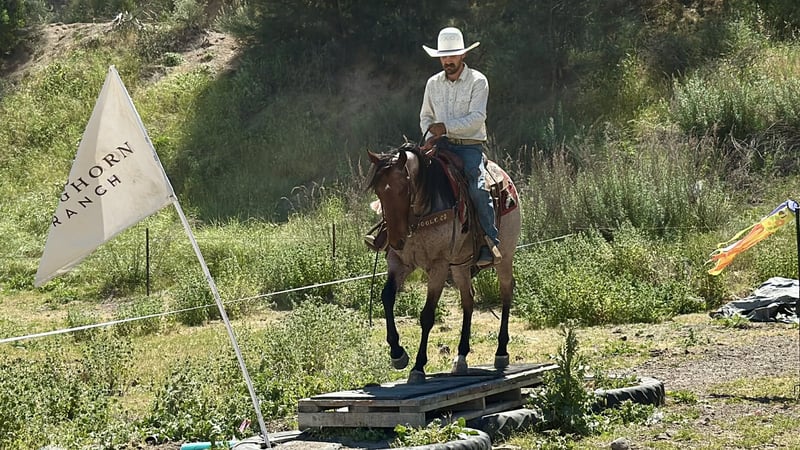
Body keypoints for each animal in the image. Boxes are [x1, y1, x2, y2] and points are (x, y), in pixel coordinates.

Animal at [366, 142, 521, 384]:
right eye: (379, 191)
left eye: (403, 189)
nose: (396, 239)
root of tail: (506, 179)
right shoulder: (399, 261)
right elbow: (387, 297)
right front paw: (397, 354)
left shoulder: (438, 265)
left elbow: (427, 315)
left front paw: (418, 366)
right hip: (460, 266)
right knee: (468, 300)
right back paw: (461, 357)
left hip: (504, 256)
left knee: (506, 292)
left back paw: (501, 352)